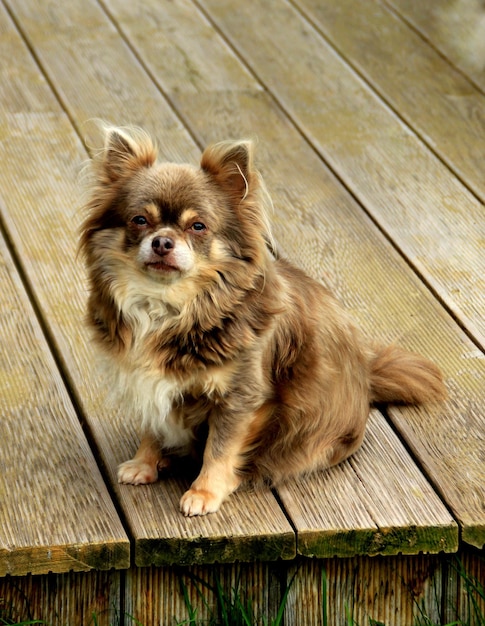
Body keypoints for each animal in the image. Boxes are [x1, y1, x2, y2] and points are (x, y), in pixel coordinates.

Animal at [79, 124, 446, 516]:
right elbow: (152, 424)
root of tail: (365, 371)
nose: (162, 242)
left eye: (198, 226)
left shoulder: (239, 399)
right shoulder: (143, 380)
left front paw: (205, 492)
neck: (172, 307)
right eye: (140, 220)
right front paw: (145, 462)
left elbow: (219, 449)